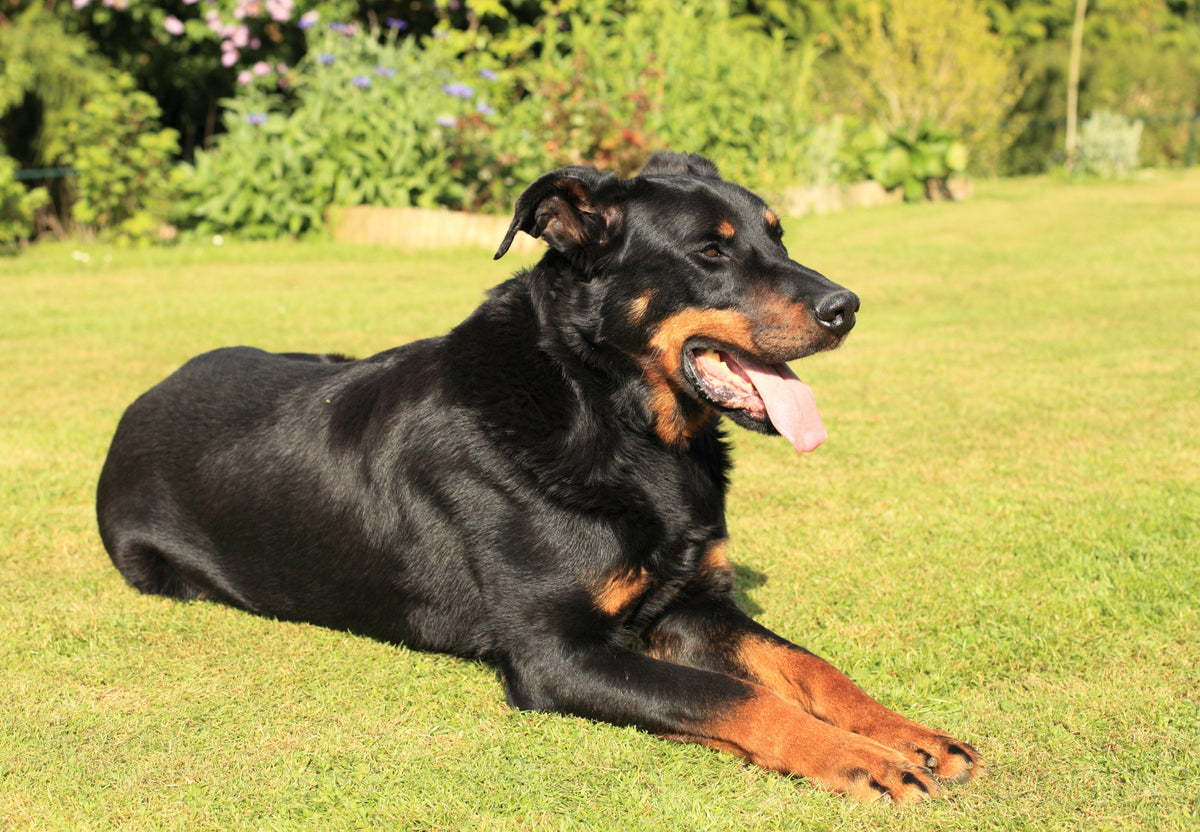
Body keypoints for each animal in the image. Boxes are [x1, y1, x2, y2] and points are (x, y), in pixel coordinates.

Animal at [98, 152, 979, 801]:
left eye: (779, 236)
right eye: (710, 251)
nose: (847, 307)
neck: (608, 412)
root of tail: (143, 397)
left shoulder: (692, 605)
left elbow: (811, 667)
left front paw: (910, 735)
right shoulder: (557, 655)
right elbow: (740, 696)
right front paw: (856, 758)